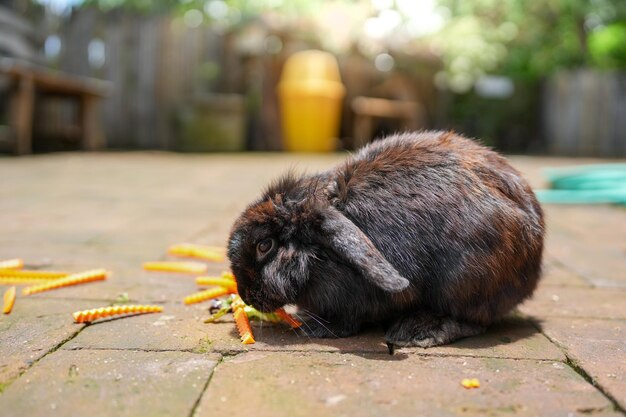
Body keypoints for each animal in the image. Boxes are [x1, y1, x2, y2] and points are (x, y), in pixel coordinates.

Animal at [225, 129, 540, 348]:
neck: (319, 256)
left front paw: (314, 328)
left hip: (464, 281)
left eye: (264, 245)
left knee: (475, 320)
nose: (245, 295)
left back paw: (418, 332)